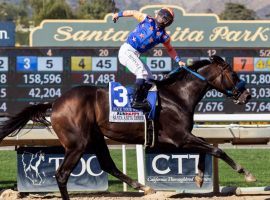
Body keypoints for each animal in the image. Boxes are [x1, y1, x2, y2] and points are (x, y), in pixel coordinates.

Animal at [0, 55, 255, 199]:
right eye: (234, 74)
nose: (248, 95)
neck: (177, 96)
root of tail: (56, 102)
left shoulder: (181, 137)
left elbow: (207, 149)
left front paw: (200, 178)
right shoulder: (179, 137)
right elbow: (216, 149)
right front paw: (246, 172)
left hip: (95, 137)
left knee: (107, 164)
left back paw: (144, 187)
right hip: (77, 143)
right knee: (61, 174)